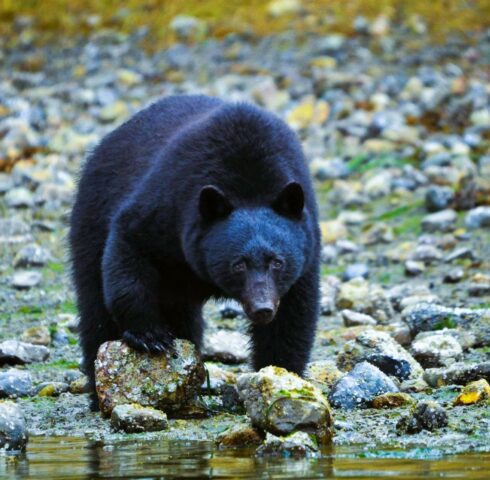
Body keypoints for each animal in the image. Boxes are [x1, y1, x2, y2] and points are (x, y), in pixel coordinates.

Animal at [70, 94, 322, 398]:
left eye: (277, 262)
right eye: (238, 264)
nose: (262, 308)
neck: (248, 184)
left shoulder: (306, 247)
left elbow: (292, 315)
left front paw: (280, 374)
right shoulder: (170, 205)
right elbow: (130, 245)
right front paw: (150, 335)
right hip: (91, 216)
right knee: (95, 308)